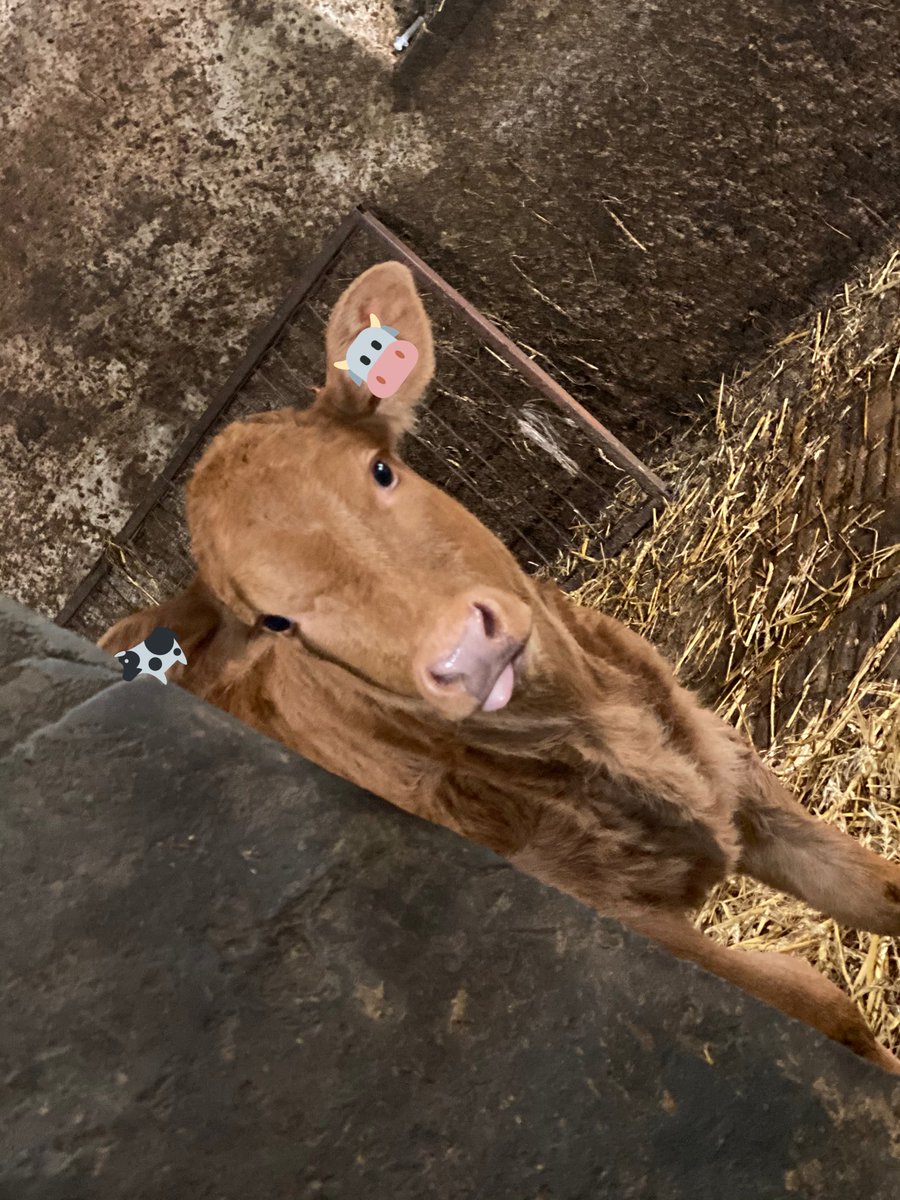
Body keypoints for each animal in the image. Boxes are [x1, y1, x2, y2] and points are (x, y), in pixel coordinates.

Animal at [100, 261, 900, 1073]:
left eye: (381, 470)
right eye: (276, 622)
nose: (463, 651)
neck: (600, 727)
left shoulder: (733, 773)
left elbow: (877, 896)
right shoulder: (624, 926)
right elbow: (822, 1001)